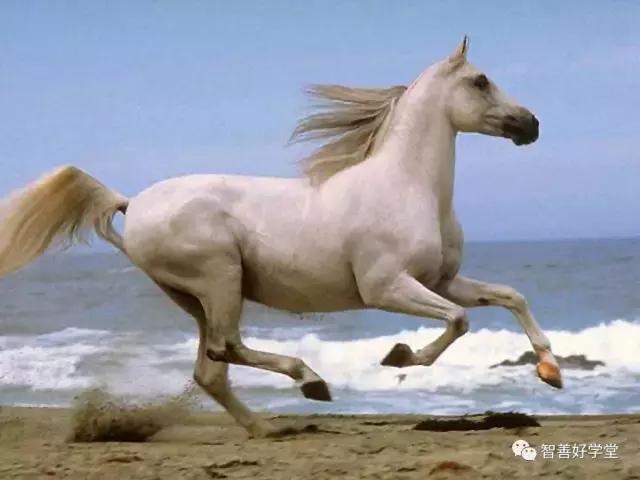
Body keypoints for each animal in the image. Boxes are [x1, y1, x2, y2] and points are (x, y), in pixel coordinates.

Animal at [0, 37, 561, 438]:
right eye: (481, 80)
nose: (531, 124)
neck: (407, 186)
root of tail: (132, 202)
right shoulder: (386, 287)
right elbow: (460, 321)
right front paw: (399, 356)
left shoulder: (441, 280)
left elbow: (509, 297)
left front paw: (550, 369)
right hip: (220, 277)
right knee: (226, 348)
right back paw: (310, 382)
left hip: (194, 297)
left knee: (211, 370)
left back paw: (265, 427)